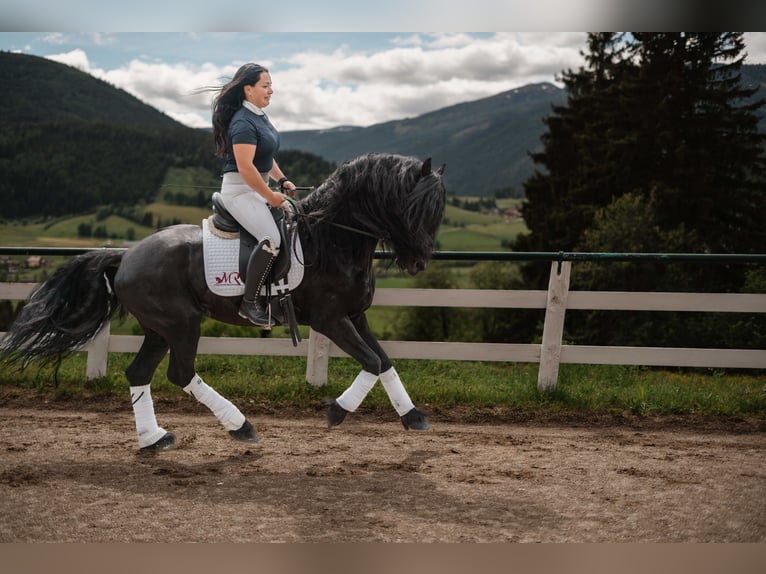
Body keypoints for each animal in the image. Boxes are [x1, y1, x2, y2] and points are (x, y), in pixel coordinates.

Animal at [0, 155, 448, 452]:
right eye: (413, 206)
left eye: (438, 210)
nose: (419, 262)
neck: (332, 238)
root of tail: (125, 256)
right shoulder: (330, 319)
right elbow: (371, 362)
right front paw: (336, 410)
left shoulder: (356, 316)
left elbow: (385, 362)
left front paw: (412, 416)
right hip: (181, 324)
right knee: (180, 373)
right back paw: (239, 425)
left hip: (159, 328)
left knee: (139, 372)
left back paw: (154, 439)